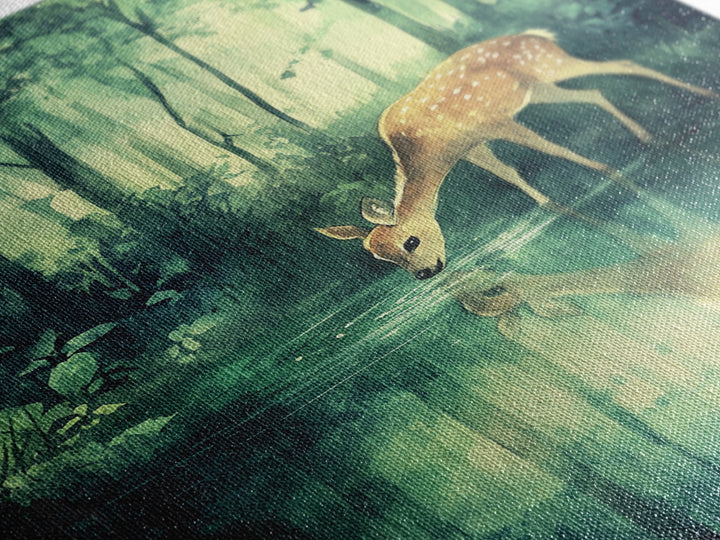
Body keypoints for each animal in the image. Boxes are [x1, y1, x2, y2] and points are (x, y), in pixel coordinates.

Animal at [316, 30, 717, 280]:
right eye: (379, 256)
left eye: (410, 241)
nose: (426, 273)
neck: (430, 152)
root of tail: (537, 35)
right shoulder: (474, 147)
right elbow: (513, 176)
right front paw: (557, 207)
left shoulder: (493, 123)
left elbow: (564, 154)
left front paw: (614, 176)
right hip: (539, 87)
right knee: (594, 91)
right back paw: (648, 135)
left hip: (550, 67)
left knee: (623, 64)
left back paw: (704, 98)